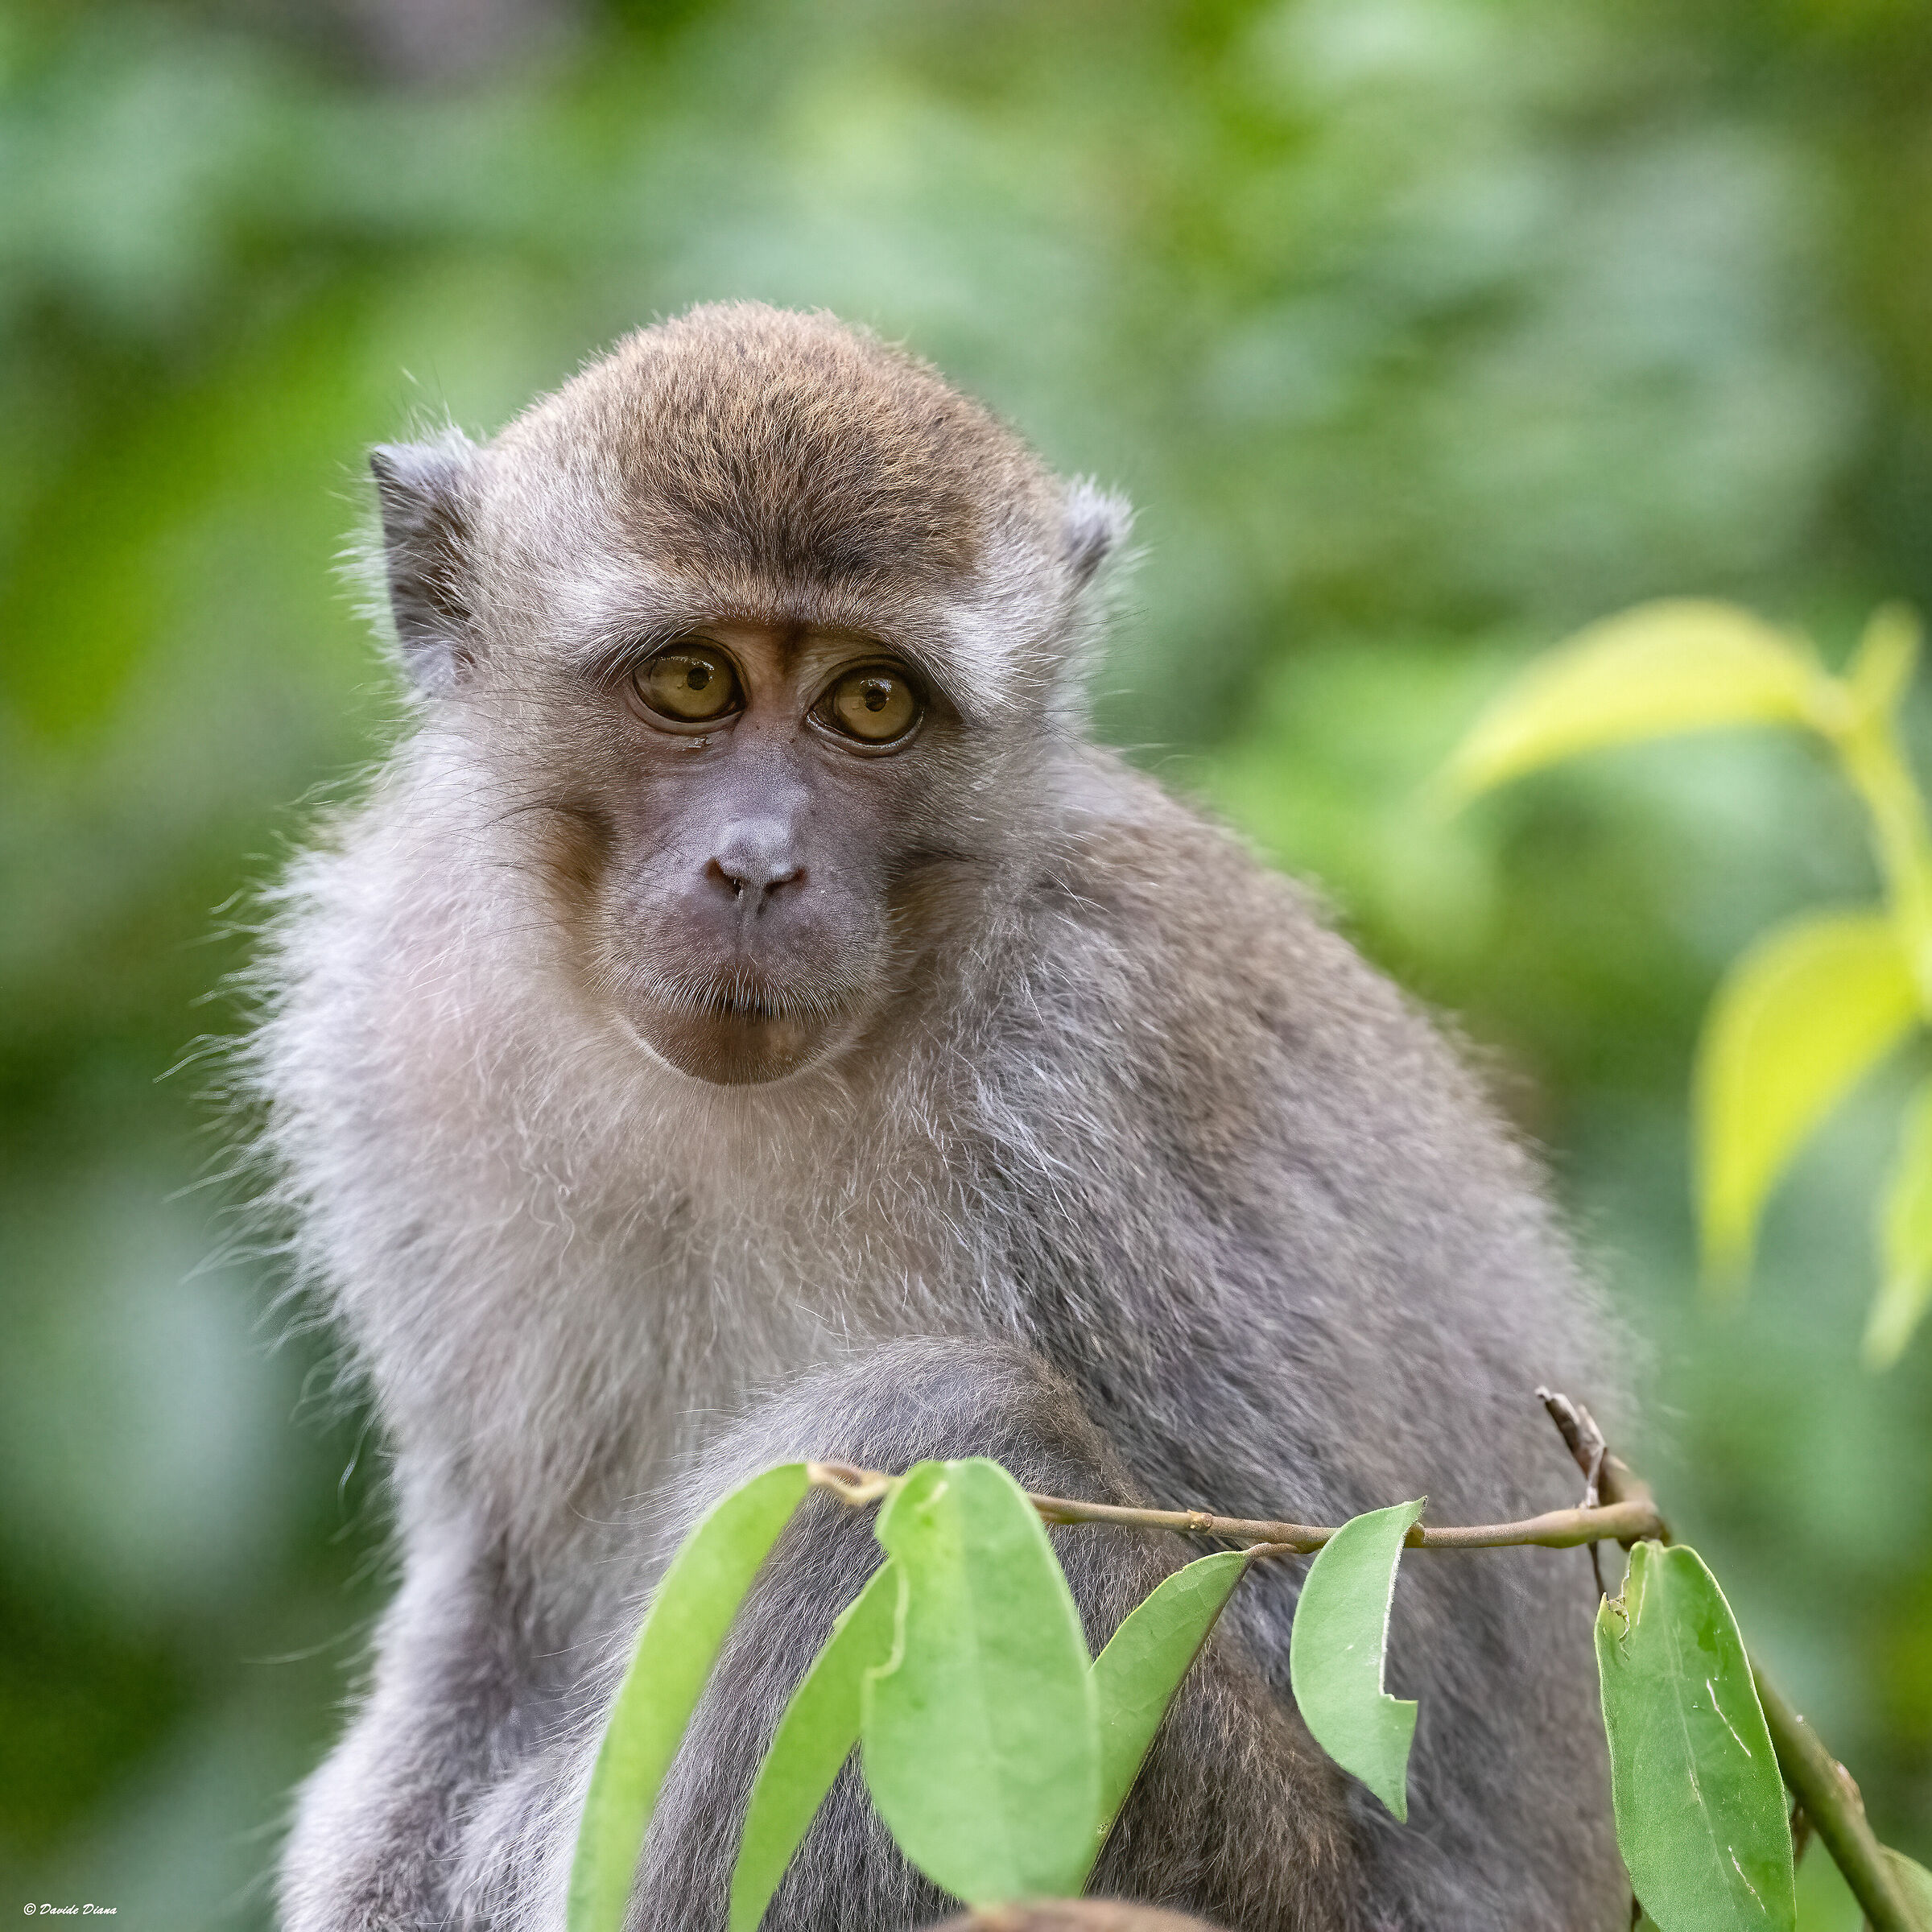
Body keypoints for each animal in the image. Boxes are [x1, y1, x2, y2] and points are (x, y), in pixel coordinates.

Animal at [256, 302, 1627, 1932]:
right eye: (693, 683)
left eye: (871, 703)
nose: (759, 866)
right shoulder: (389, 1025)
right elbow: (500, 1585)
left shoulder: (1102, 1070)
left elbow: (1329, 1632)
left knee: (932, 1437)